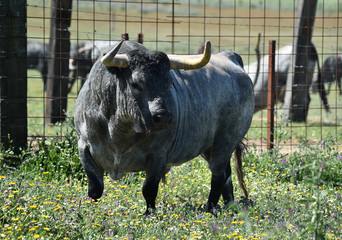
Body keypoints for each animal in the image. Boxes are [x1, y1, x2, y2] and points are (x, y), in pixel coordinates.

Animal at [75, 39, 256, 214]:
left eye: (169, 84)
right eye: (136, 83)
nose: (162, 117)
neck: (119, 129)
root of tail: (229, 57)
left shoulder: (158, 156)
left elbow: (149, 190)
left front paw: (149, 215)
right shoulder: (84, 147)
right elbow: (95, 189)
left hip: (224, 142)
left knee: (219, 175)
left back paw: (210, 209)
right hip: (212, 147)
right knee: (227, 174)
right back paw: (229, 206)